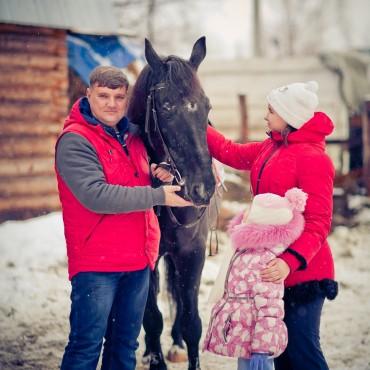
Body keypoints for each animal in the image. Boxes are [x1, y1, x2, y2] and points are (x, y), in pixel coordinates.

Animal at [127, 36, 214, 370]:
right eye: (165, 107)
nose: (203, 187)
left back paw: (175, 345)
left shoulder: (193, 252)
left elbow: (192, 321)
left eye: (206, 106)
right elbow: (151, 318)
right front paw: (155, 357)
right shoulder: (145, 259)